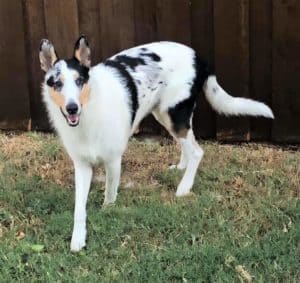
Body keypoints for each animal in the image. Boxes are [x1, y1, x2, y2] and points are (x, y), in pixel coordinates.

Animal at [39, 36, 274, 253]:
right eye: (57, 83)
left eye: (80, 81)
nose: (72, 108)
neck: (89, 111)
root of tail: (199, 57)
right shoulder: (82, 166)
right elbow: (79, 208)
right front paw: (77, 238)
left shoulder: (113, 161)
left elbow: (109, 195)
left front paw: (107, 212)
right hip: (164, 113)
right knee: (187, 144)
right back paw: (181, 168)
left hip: (173, 114)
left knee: (197, 151)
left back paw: (184, 187)